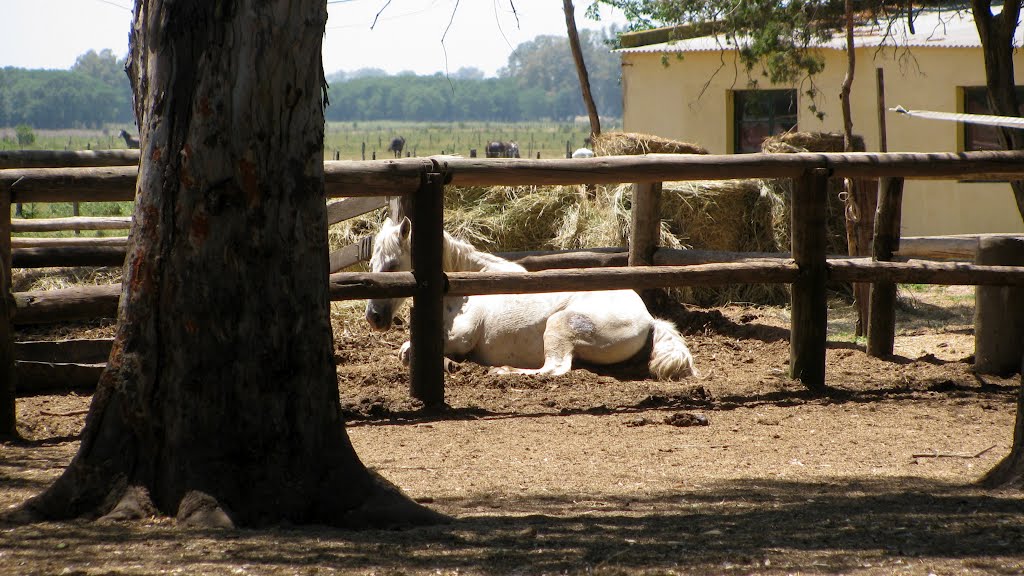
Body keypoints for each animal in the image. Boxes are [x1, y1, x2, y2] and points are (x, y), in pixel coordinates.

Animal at [364, 214, 700, 377]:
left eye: (392, 265)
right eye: (371, 265)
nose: (373, 318)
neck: (463, 288)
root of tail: (649, 319)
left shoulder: (460, 338)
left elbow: (408, 351)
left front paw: (451, 364)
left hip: (560, 326)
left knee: (555, 369)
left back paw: (503, 371)